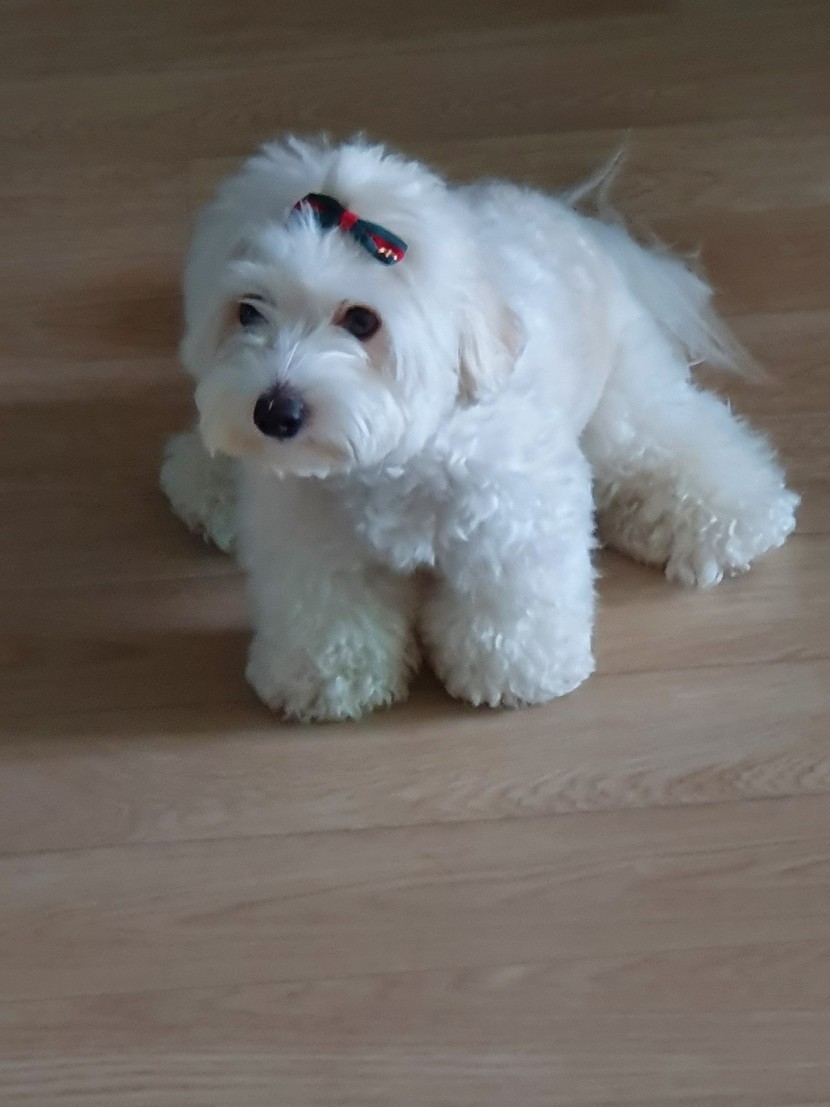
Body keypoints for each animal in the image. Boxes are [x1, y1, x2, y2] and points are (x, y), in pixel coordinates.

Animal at [161, 135, 798, 721]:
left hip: (626, 398)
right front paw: (328, 681)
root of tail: (576, 218)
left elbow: (510, 603)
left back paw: (732, 517)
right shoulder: (311, 539)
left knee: (669, 442)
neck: (394, 456)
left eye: (362, 321)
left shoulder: (517, 518)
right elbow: (328, 613)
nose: (274, 412)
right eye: (248, 310)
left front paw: (517, 672)